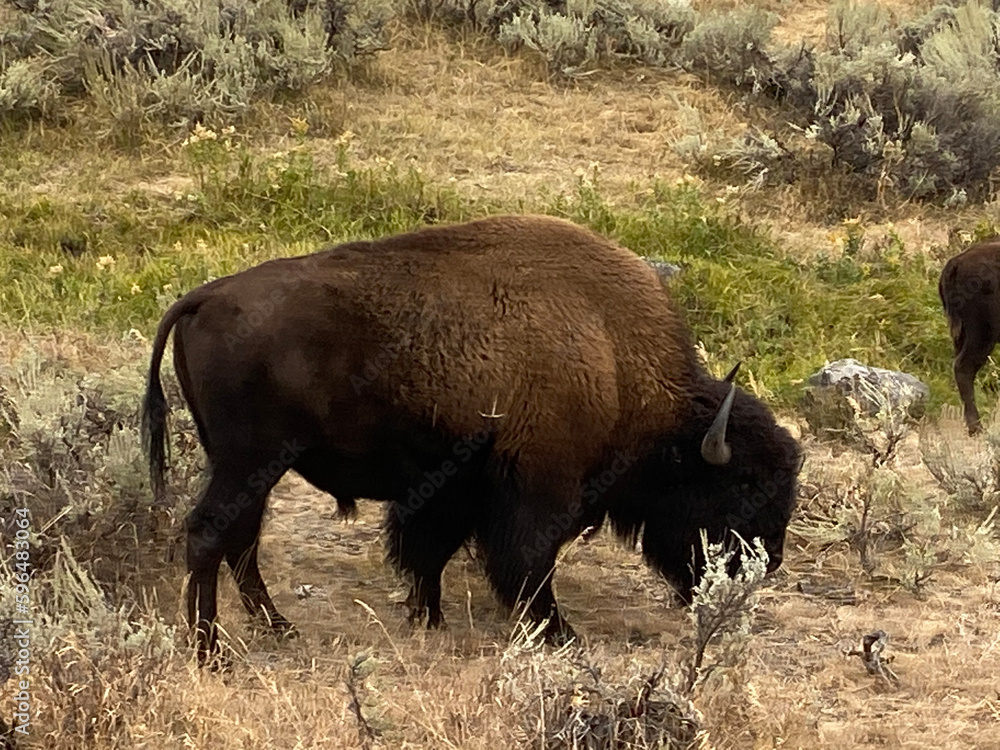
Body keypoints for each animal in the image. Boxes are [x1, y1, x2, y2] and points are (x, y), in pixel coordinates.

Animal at [141, 213, 800, 664]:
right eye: (740, 486)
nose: (764, 563)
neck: (614, 356)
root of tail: (204, 297)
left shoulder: (452, 488)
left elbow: (428, 553)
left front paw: (426, 617)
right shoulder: (535, 489)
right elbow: (528, 564)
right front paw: (560, 634)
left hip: (251, 466)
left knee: (240, 539)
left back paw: (277, 627)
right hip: (249, 460)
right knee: (210, 534)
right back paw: (210, 651)